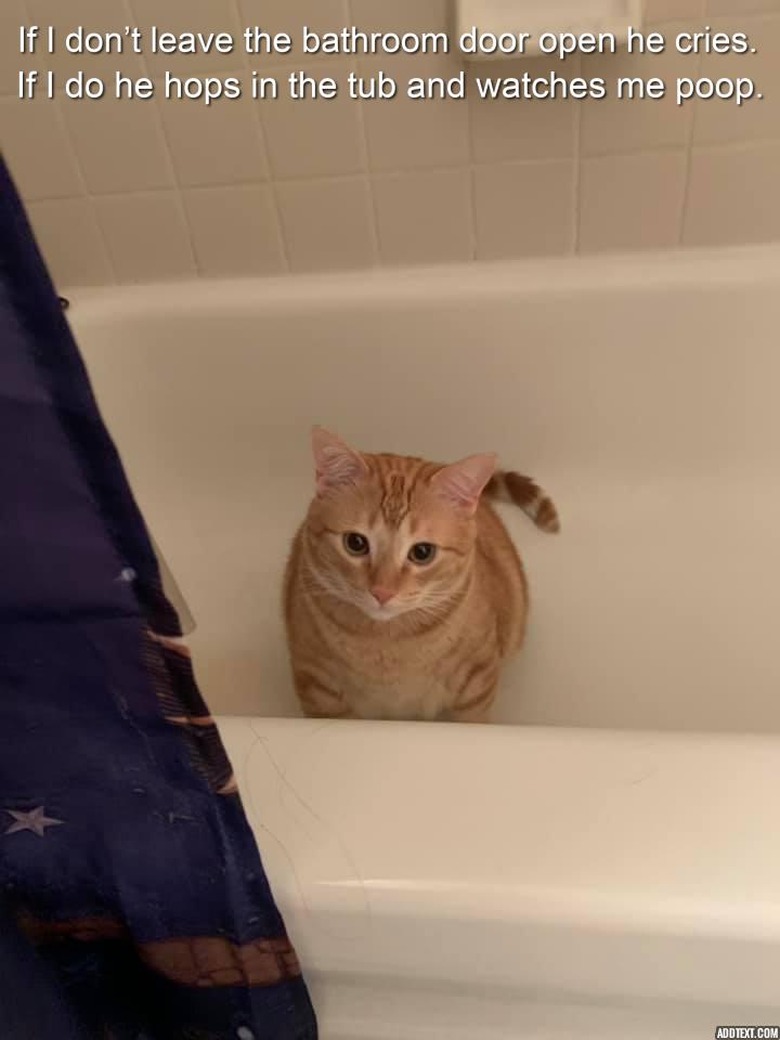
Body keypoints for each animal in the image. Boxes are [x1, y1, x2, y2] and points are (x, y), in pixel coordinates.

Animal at [284, 426, 557, 719]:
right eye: (355, 543)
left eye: (422, 552)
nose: (382, 592)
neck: (386, 646)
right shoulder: (317, 686)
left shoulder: (477, 680)